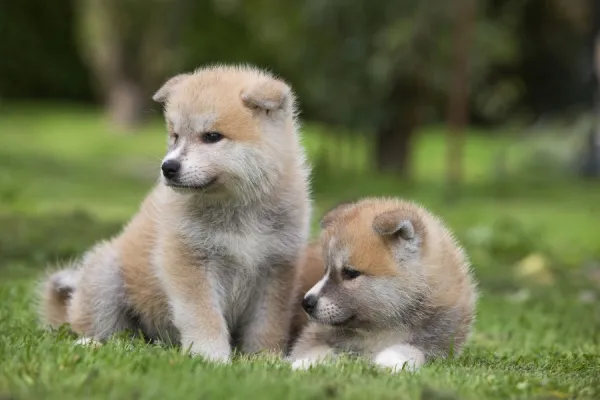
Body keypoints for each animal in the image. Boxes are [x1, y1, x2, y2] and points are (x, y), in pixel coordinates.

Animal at [290, 198, 478, 374]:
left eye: (350, 273)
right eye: (325, 270)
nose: (306, 303)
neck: (381, 328)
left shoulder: (436, 345)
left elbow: (410, 350)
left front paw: (389, 362)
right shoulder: (316, 334)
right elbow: (318, 350)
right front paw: (304, 363)